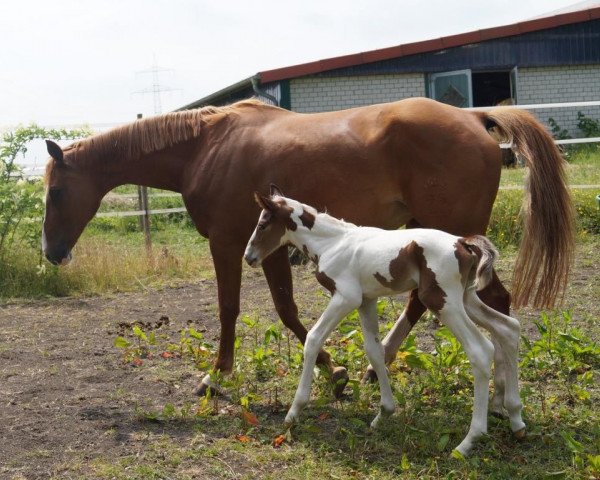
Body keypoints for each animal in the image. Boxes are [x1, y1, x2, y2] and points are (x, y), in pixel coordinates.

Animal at [44, 96, 576, 402]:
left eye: (55, 191)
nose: (52, 252)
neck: (205, 147)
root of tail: (473, 117)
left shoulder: (229, 244)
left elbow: (234, 309)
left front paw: (216, 377)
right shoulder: (270, 246)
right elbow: (286, 309)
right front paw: (335, 369)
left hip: (451, 237)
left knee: (486, 301)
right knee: (437, 301)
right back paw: (385, 364)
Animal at [244, 187, 524, 454]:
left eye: (262, 224)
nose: (249, 257)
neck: (332, 243)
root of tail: (463, 243)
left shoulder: (346, 297)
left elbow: (313, 339)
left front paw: (293, 412)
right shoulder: (366, 301)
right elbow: (375, 351)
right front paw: (384, 413)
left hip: (442, 301)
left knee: (481, 349)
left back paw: (469, 441)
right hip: (465, 299)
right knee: (508, 328)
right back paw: (516, 418)